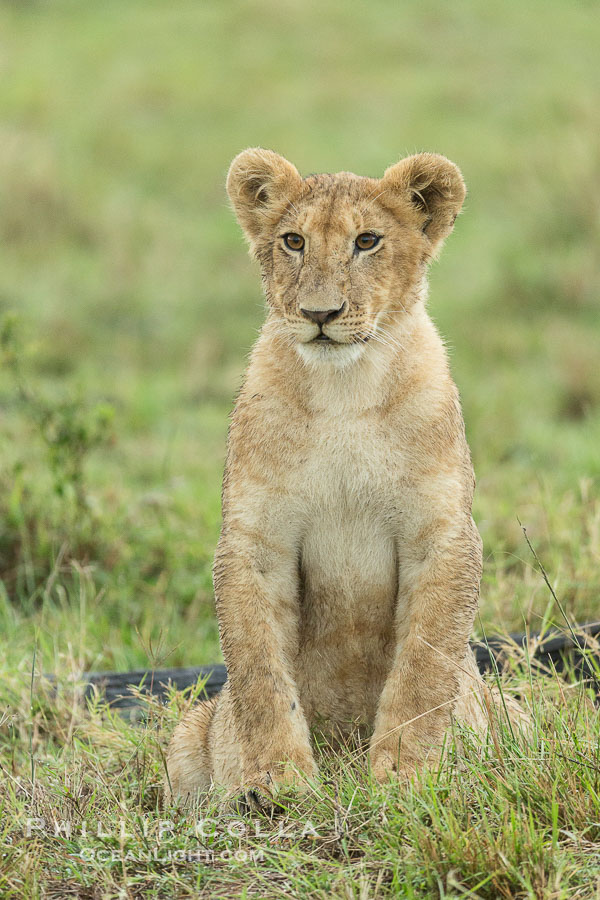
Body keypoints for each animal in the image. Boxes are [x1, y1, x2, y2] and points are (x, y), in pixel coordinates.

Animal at [164, 148, 528, 808]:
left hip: (516, 714)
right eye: (293, 241)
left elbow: (424, 667)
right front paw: (277, 780)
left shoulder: (442, 536)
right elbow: (259, 669)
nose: (320, 314)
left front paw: (405, 775)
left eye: (367, 241)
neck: (344, 388)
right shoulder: (256, 541)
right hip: (187, 737)